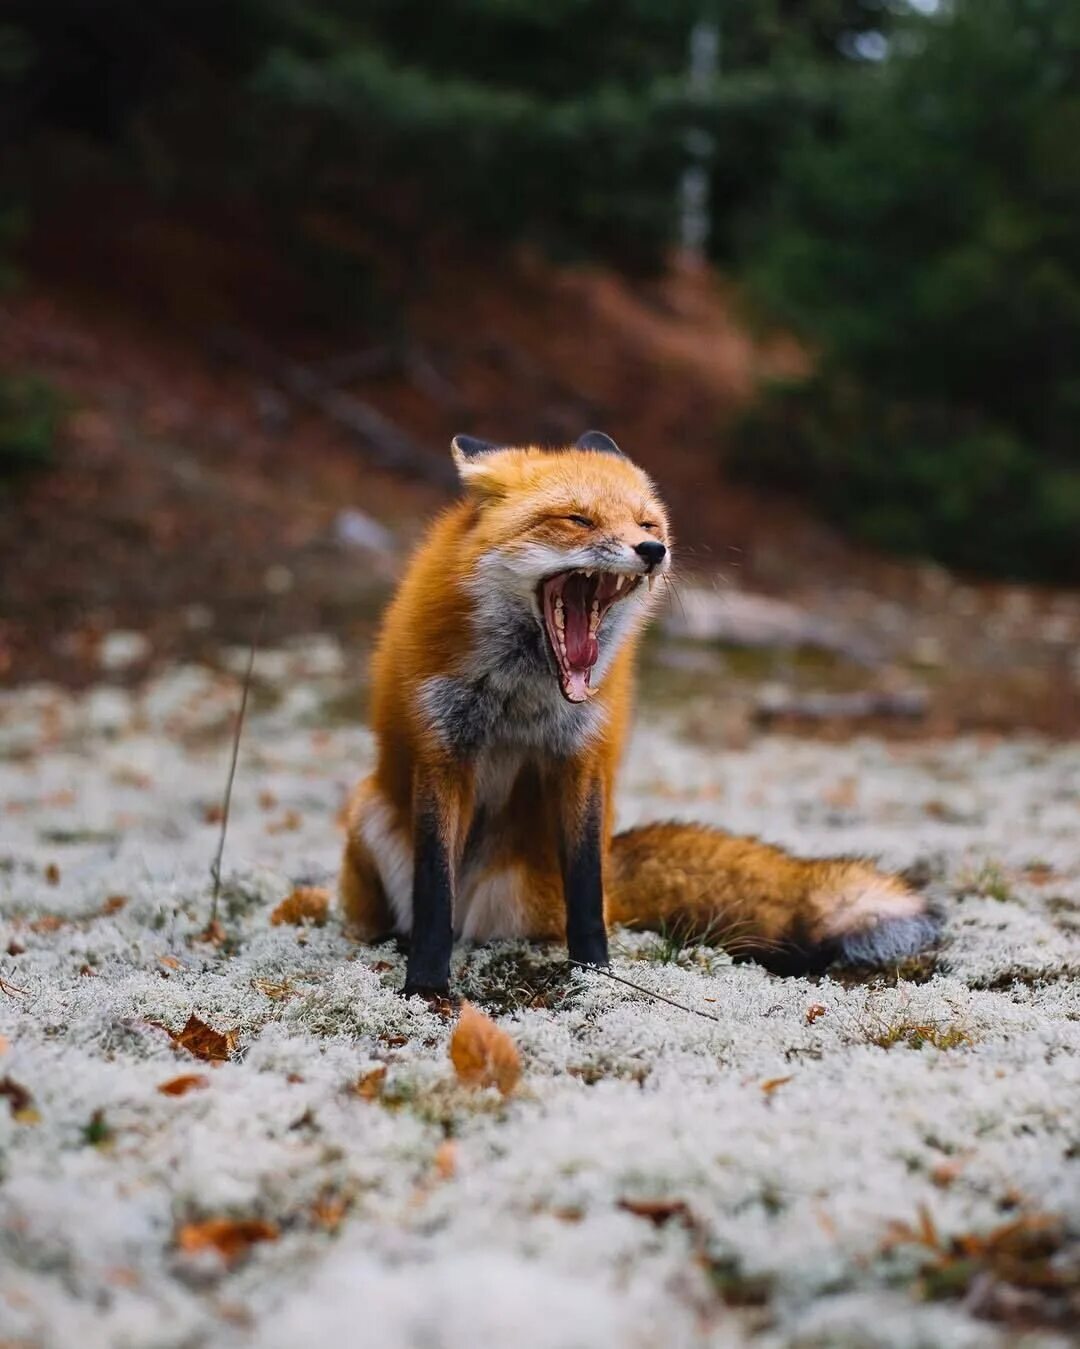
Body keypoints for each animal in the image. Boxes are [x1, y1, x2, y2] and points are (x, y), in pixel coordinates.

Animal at [339, 431, 933, 1003]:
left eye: (647, 523)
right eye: (578, 520)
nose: (654, 549)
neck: (520, 697)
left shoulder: (581, 758)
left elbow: (586, 892)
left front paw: (596, 976)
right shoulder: (443, 753)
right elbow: (433, 894)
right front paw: (425, 987)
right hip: (368, 814)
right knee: (420, 912)